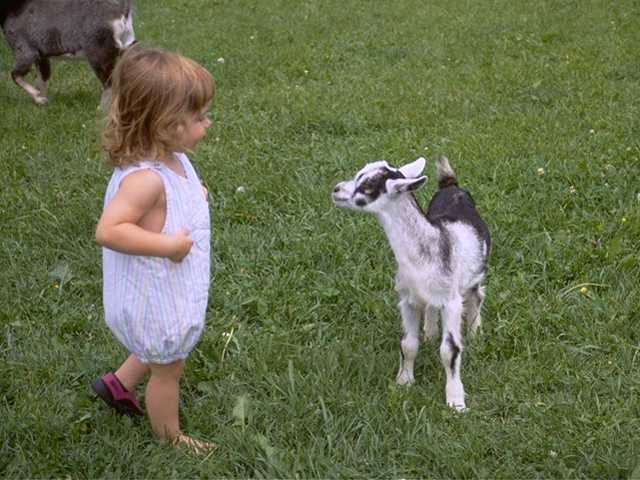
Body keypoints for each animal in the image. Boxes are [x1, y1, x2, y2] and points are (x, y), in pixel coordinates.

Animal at [0, 0, 134, 104]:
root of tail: (120, 13)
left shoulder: (26, 53)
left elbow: (15, 75)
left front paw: (38, 97)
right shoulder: (42, 57)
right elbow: (42, 80)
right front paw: (41, 101)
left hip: (99, 57)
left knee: (109, 83)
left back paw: (101, 109)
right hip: (126, 47)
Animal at [336, 157, 490, 408]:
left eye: (368, 185)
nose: (336, 190)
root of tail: (451, 185)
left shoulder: (451, 302)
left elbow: (449, 350)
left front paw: (455, 401)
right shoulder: (407, 299)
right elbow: (407, 344)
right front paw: (404, 382)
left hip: (474, 274)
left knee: (476, 296)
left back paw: (476, 333)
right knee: (431, 306)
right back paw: (429, 332)